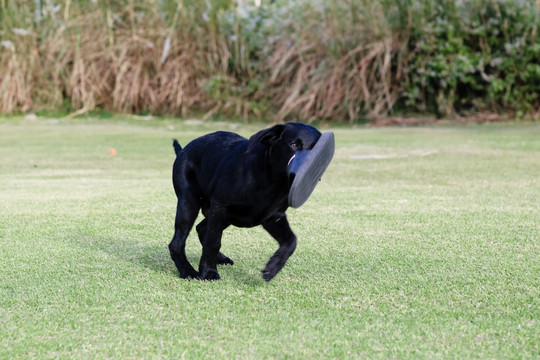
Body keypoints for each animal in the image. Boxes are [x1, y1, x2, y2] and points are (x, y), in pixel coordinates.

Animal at [169, 123, 320, 282]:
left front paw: (272, 267)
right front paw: (209, 272)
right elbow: (213, 242)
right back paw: (188, 271)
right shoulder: (220, 207)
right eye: (293, 145)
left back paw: (220, 259)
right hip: (189, 204)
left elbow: (291, 241)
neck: (271, 182)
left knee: (202, 229)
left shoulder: (273, 217)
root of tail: (182, 151)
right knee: (177, 243)